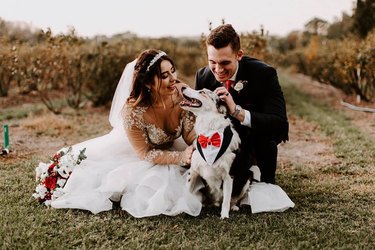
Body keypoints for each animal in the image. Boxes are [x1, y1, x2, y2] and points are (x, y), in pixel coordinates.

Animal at [180, 86, 258, 219]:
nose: (183, 87)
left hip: (247, 176)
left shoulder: (229, 176)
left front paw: (224, 216)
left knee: (232, 199)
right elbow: (187, 192)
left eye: (202, 92)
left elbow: (226, 199)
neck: (210, 135)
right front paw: (184, 209)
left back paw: (233, 207)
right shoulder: (193, 171)